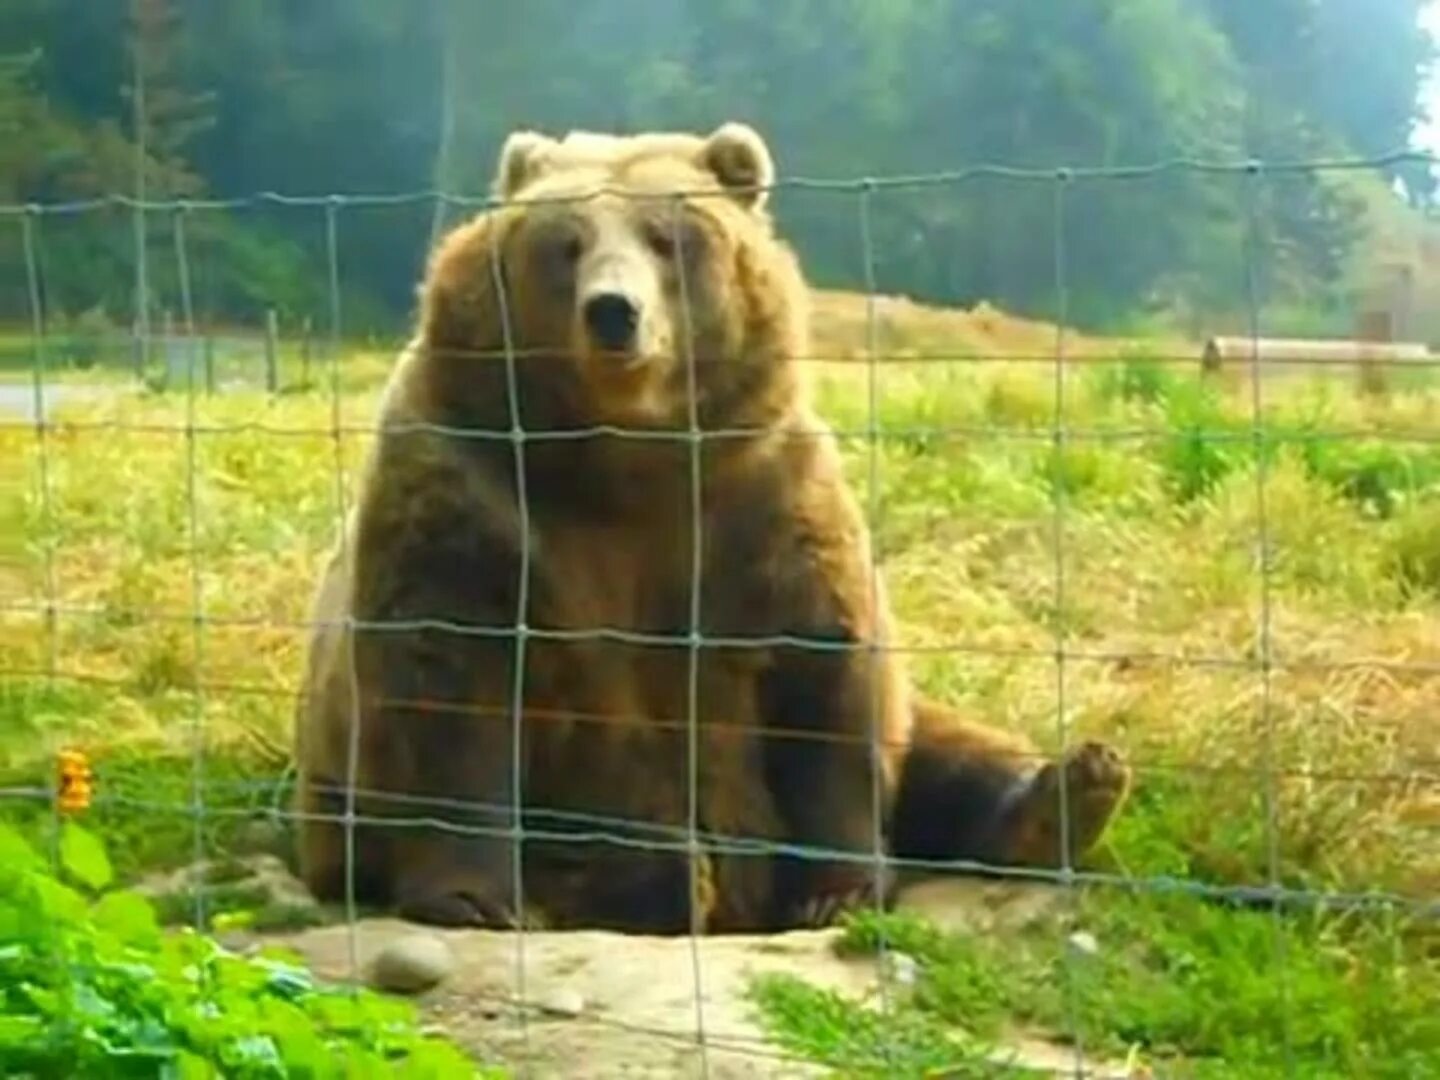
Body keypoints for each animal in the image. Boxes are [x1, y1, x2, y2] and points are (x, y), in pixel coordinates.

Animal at [286, 116, 1128, 933]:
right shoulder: (473, 480)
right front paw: (472, 896)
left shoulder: (759, 494)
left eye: (665, 237)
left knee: (944, 749)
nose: (614, 311)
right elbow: (449, 677)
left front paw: (836, 890)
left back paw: (1069, 790)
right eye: (567, 242)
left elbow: (824, 674)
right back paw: (656, 875)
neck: (627, 455)